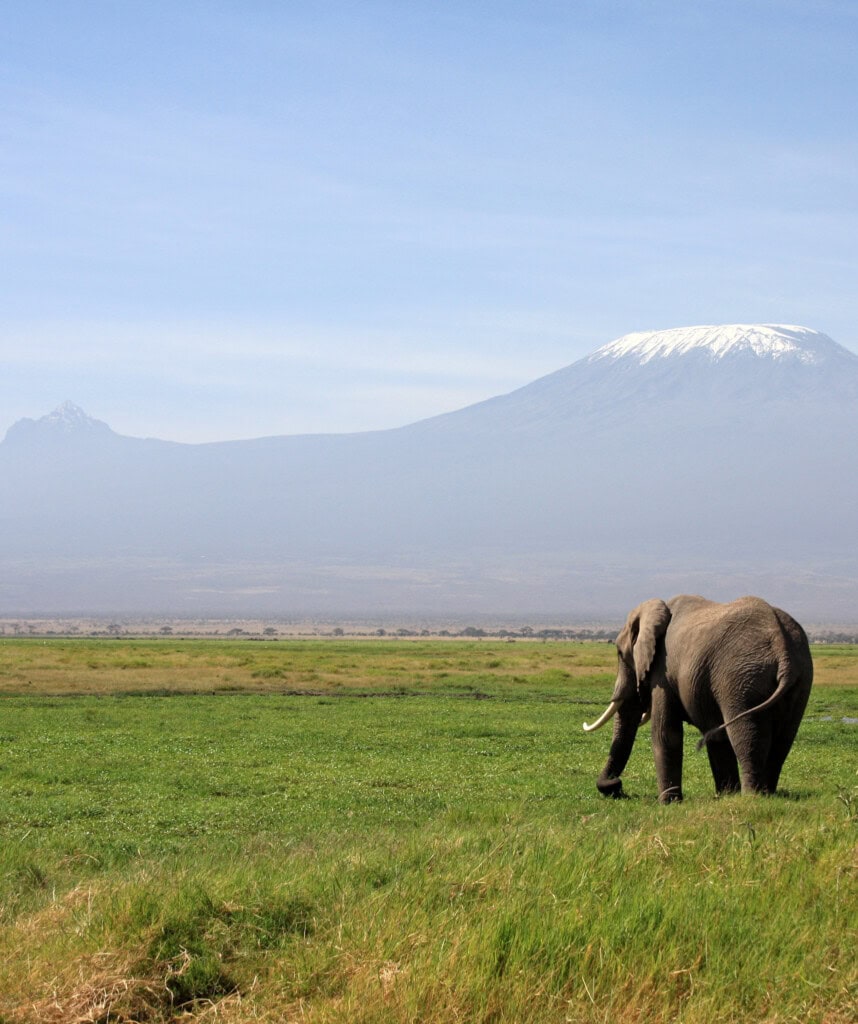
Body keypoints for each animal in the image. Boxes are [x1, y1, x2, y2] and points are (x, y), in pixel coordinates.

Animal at [583, 595, 813, 803]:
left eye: (620, 654)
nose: (617, 787)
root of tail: (782, 647)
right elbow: (716, 739)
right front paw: (725, 796)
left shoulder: (663, 672)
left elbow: (666, 733)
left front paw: (668, 803)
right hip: (799, 680)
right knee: (783, 741)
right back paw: (768, 794)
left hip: (741, 681)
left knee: (746, 736)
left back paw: (752, 797)